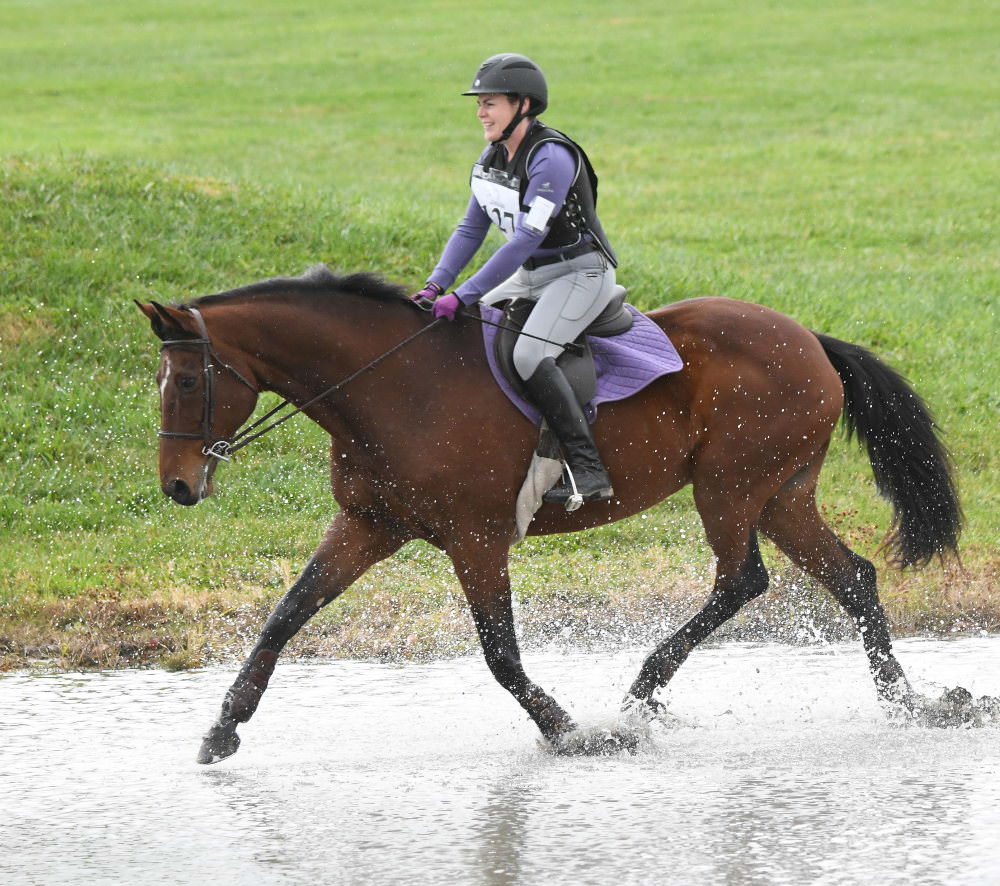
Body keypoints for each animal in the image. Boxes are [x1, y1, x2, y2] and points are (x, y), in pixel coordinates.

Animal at [137, 262, 980, 764]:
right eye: (161, 381)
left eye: (188, 382)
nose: (178, 487)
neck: (388, 387)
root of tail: (806, 337)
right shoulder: (368, 527)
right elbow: (286, 614)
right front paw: (223, 727)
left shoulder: (476, 540)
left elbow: (500, 653)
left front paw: (570, 731)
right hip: (780, 494)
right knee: (851, 577)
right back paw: (911, 704)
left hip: (732, 487)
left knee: (742, 580)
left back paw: (639, 696)